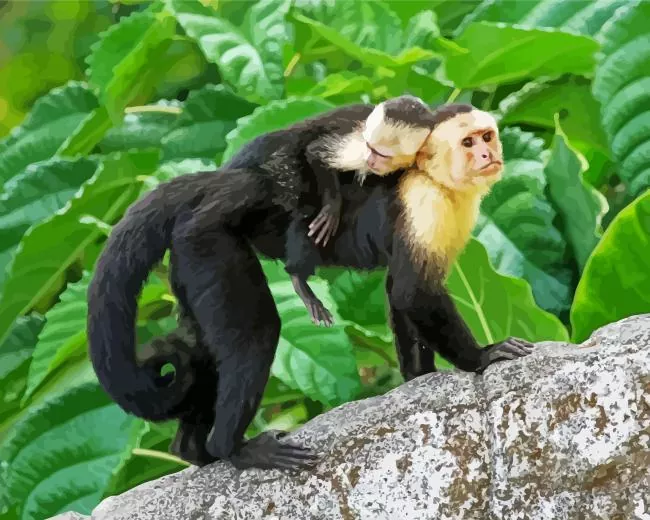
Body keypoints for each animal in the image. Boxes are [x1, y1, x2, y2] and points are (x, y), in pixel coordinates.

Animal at [223, 95, 437, 327]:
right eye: (370, 147)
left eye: (381, 153)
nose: (370, 160)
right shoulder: (357, 144)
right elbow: (315, 153)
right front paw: (332, 208)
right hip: (281, 163)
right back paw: (299, 279)